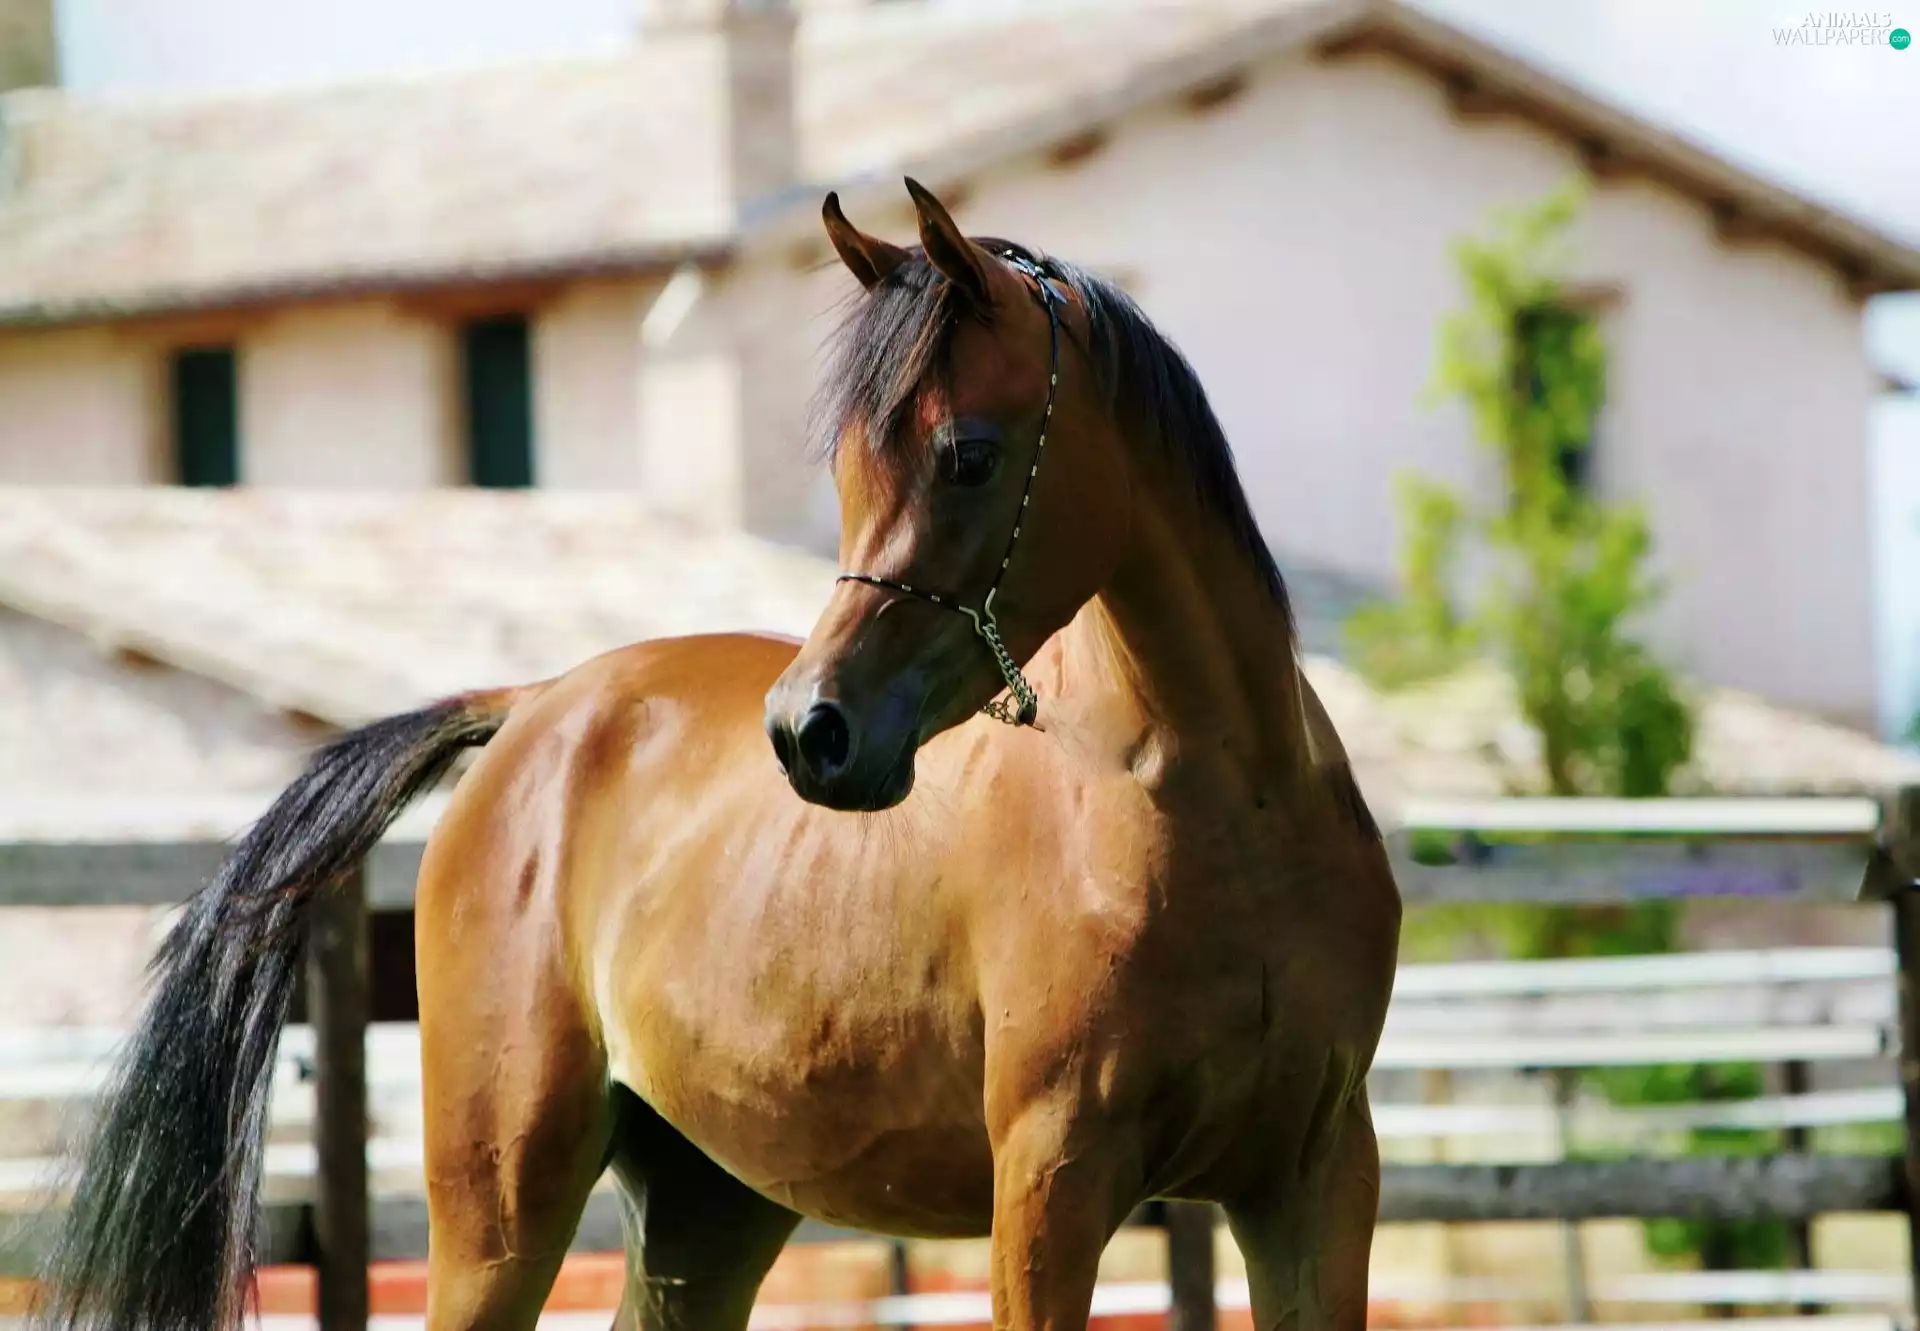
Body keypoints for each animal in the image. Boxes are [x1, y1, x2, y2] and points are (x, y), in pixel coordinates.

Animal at [37, 179, 1400, 1331]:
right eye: (848, 464)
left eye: (967, 452)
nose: (811, 731)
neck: (1221, 810)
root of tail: (531, 710)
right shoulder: (1052, 1186)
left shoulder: (1314, 1185)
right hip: (500, 1207)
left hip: (710, 1201)